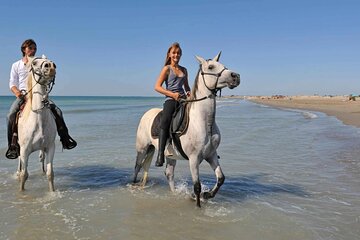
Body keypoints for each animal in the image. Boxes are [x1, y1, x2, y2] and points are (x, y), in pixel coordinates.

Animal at [16, 55, 57, 191]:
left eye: (50, 61)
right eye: (34, 63)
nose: (51, 66)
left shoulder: (50, 147)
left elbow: (50, 174)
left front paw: (52, 192)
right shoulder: (24, 150)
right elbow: (24, 175)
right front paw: (21, 192)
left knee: (42, 159)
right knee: (19, 163)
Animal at [134, 53, 240, 207]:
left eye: (223, 65)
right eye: (211, 67)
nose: (236, 76)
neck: (204, 122)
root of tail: (146, 114)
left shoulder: (211, 155)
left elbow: (221, 178)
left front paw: (207, 195)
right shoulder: (194, 159)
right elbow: (197, 186)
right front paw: (198, 203)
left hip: (170, 155)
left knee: (169, 174)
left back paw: (173, 194)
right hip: (142, 149)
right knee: (137, 167)